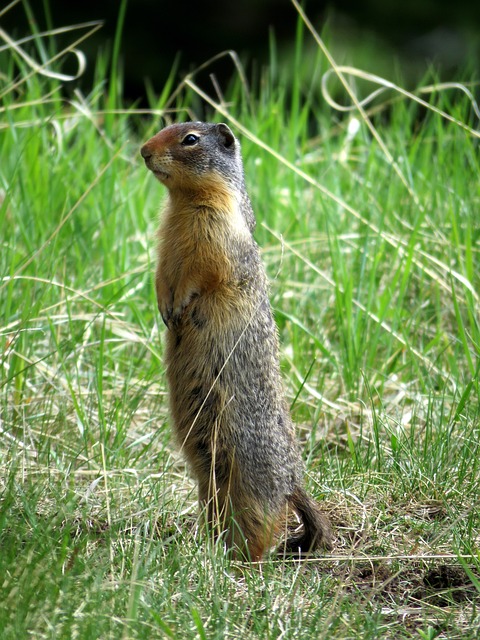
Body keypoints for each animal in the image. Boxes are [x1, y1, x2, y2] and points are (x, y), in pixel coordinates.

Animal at [141, 121, 332, 560]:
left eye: (190, 139)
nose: (142, 150)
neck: (184, 202)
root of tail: (294, 480)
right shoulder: (166, 241)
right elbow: (162, 272)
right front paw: (164, 307)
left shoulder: (217, 232)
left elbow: (203, 272)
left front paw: (181, 307)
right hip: (208, 478)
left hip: (248, 481)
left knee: (260, 527)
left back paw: (236, 560)